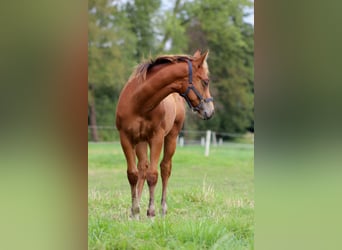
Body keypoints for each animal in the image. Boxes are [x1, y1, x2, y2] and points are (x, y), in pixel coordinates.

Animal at [116, 50, 215, 217]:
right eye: (205, 81)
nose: (210, 111)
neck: (139, 102)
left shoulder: (157, 138)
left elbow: (153, 175)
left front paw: (151, 212)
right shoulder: (126, 138)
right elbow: (133, 174)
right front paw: (135, 211)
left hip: (171, 137)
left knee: (165, 168)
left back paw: (163, 208)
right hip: (141, 141)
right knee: (142, 168)